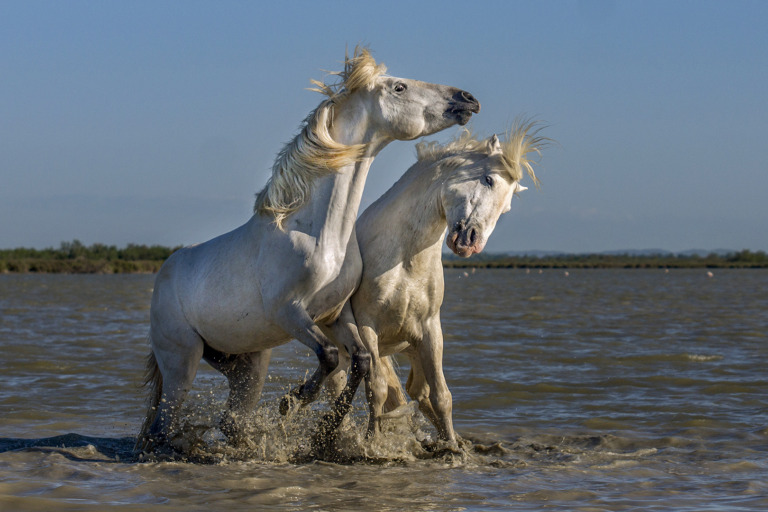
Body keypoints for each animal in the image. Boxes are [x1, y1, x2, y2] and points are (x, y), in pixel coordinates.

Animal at [136, 47, 480, 453]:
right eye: (399, 87)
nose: (468, 99)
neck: (321, 235)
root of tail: (165, 273)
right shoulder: (290, 312)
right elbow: (330, 356)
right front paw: (294, 401)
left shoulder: (334, 314)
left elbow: (361, 361)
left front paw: (324, 430)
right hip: (182, 359)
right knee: (163, 424)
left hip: (248, 363)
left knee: (229, 420)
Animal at [302, 121, 549, 449]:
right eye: (488, 179)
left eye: (507, 207)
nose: (471, 243)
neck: (405, 259)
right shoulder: (367, 327)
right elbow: (377, 390)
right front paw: (372, 445)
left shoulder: (430, 330)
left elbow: (441, 396)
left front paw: (453, 447)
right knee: (342, 387)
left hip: (409, 346)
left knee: (416, 392)